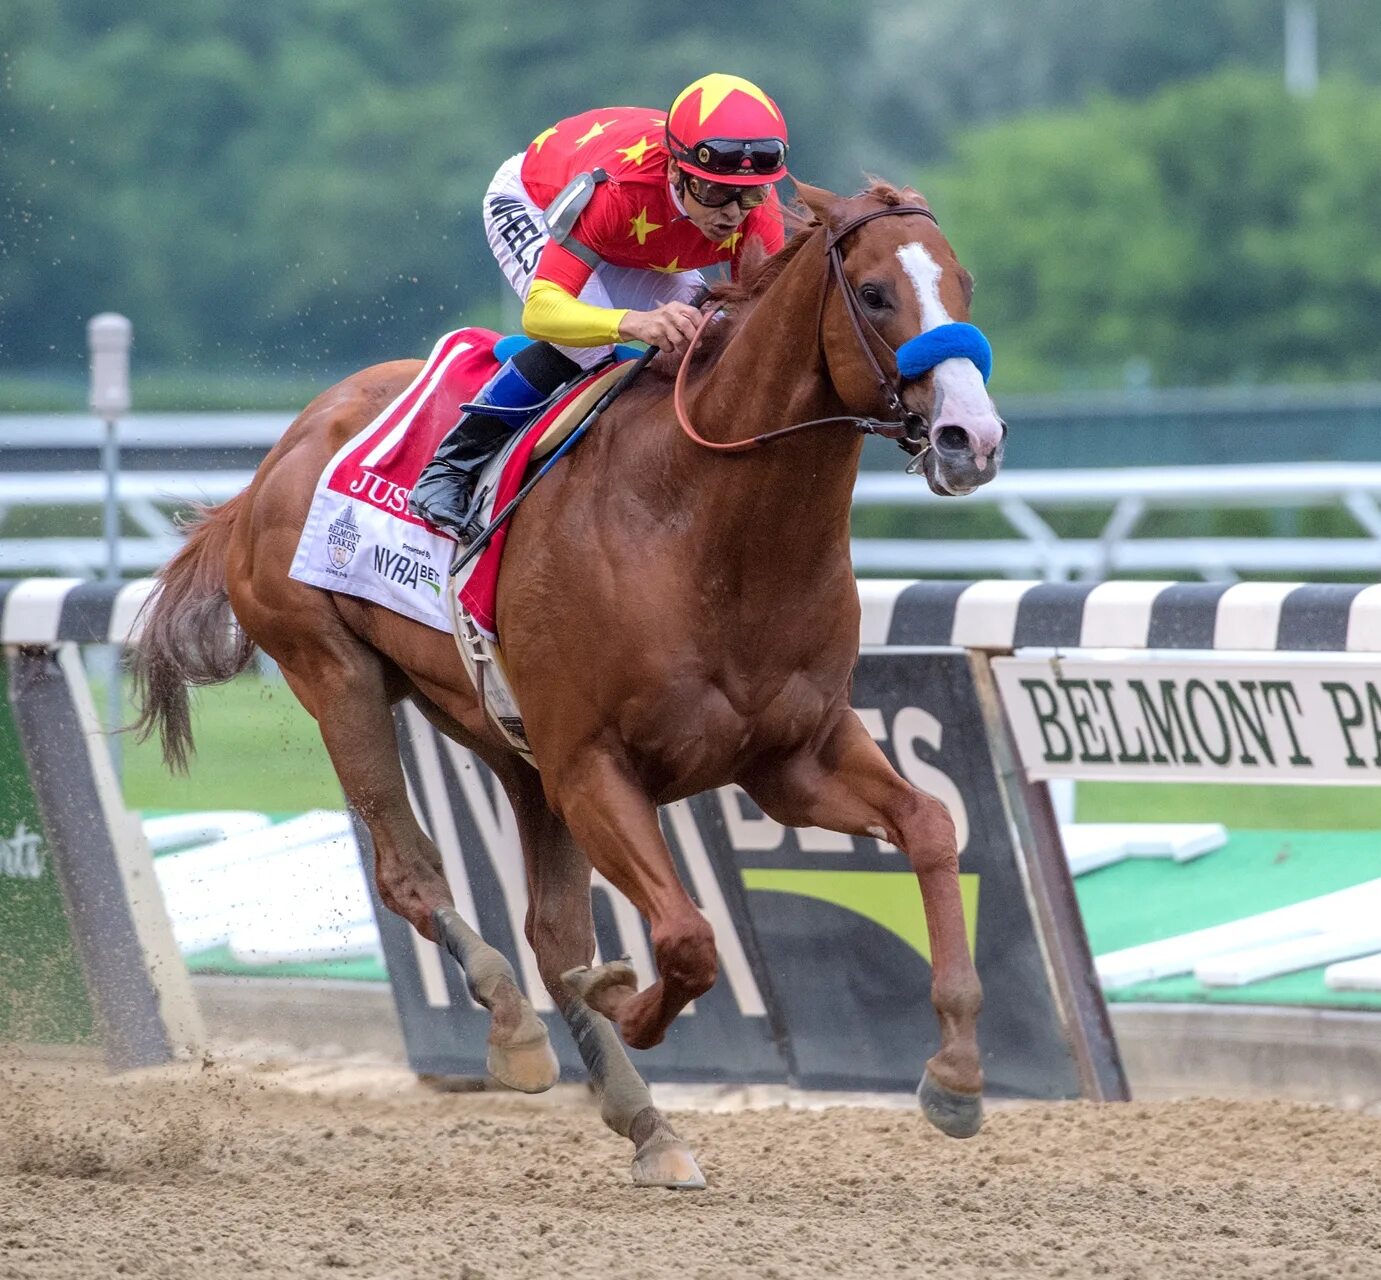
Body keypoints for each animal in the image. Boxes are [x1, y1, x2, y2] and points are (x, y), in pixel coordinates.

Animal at [134, 175, 1005, 1187]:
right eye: (872, 293)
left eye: (964, 283)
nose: (971, 438)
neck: (707, 529)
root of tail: (281, 453)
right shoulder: (595, 763)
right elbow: (685, 941)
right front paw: (624, 996)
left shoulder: (793, 756)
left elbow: (930, 826)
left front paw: (956, 1074)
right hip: (336, 674)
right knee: (412, 874)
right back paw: (515, 1030)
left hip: (509, 744)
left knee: (547, 928)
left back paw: (647, 1123)